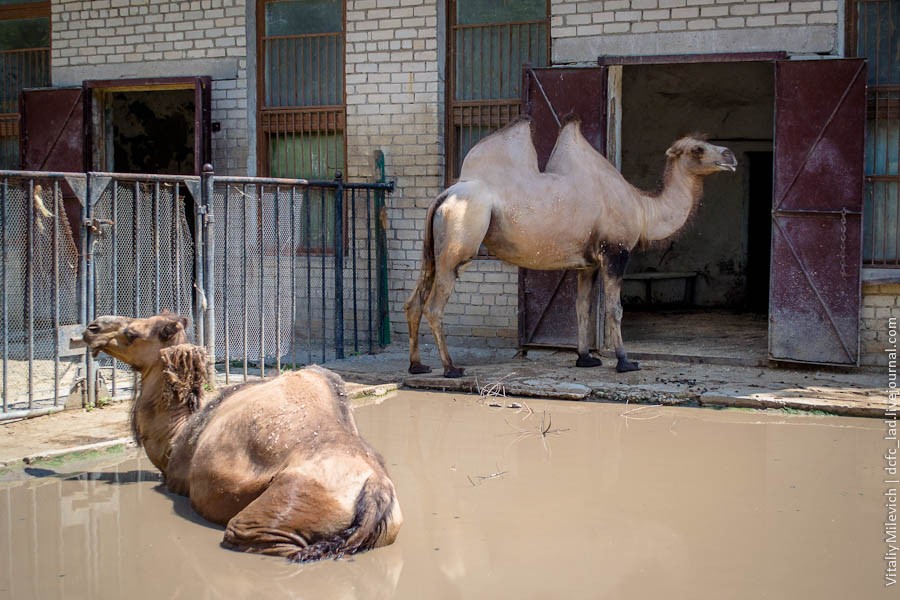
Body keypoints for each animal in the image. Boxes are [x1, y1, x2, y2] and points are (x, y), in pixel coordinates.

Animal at [83, 314, 400, 564]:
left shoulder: (177, 480)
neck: (178, 436)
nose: (92, 327)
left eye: (131, 333)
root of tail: (377, 491)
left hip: (280, 510)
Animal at [408, 115, 740, 378]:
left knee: (415, 300)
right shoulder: (615, 252)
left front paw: (585, 358)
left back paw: (418, 366)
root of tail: (445, 194)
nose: (731, 155)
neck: (642, 208)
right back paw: (451, 368)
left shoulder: (588, 262)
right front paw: (625, 362)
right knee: (435, 305)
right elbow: (614, 308)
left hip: (432, 248)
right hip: (458, 244)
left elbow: (581, 307)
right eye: (697, 149)